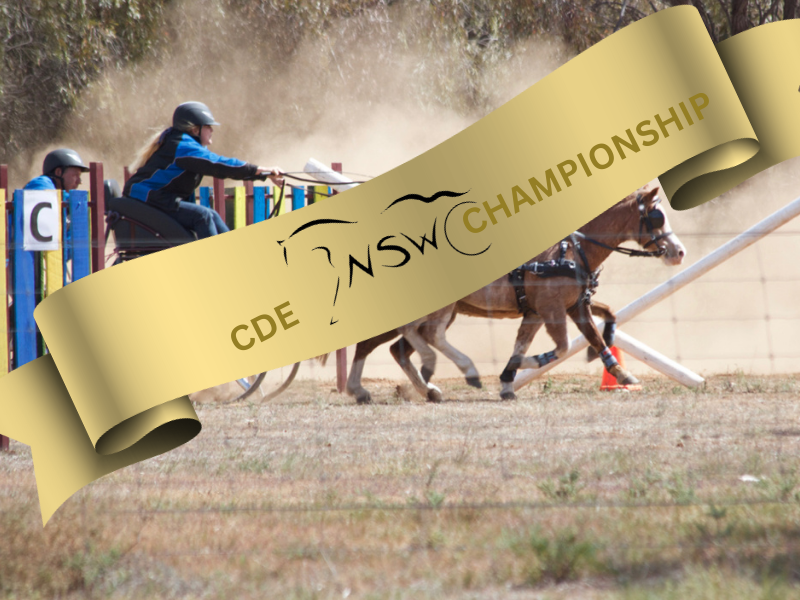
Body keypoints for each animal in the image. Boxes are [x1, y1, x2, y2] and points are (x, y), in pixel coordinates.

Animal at [346, 184, 684, 404]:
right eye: (656, 216)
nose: (679, 252)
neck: (571, 252)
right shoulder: (551, 310)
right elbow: (560, 348)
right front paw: (514, 370)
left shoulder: (566, 307)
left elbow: (599, 330)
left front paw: (623, 375)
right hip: (440, 309)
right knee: (406, 339)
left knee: (398, 347)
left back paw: (425, 389)